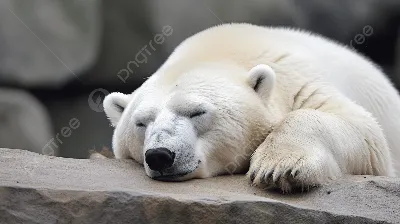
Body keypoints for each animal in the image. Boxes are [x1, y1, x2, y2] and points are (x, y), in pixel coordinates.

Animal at [102, 22, 400, 191]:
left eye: (197, 112)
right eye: (141, 122)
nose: (159, 156)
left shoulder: (301, 82)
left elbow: (366, 132)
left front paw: (278, 167)